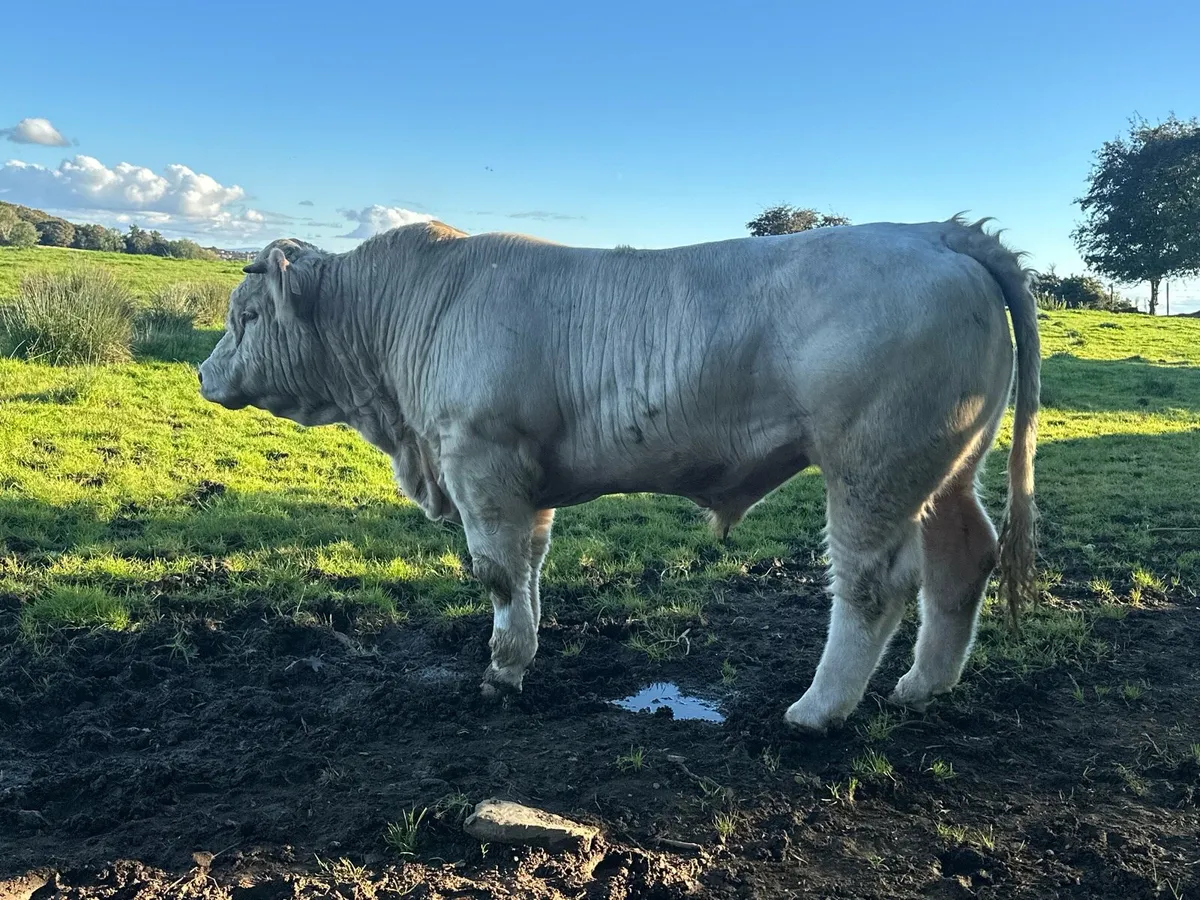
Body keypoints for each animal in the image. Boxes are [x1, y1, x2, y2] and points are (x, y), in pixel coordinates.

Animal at [198, 215, 1039, 734]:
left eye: (247, 315)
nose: (204, 372)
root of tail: (926, 231)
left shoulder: (480, 461)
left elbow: (496, 572)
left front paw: (502, 673)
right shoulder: (521, 482)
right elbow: (529, 567)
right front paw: (526, 650)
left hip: (872, 465)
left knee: (874, 585)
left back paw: (819, 709)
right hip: (946, 467)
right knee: (963, 558)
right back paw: (922, 687)